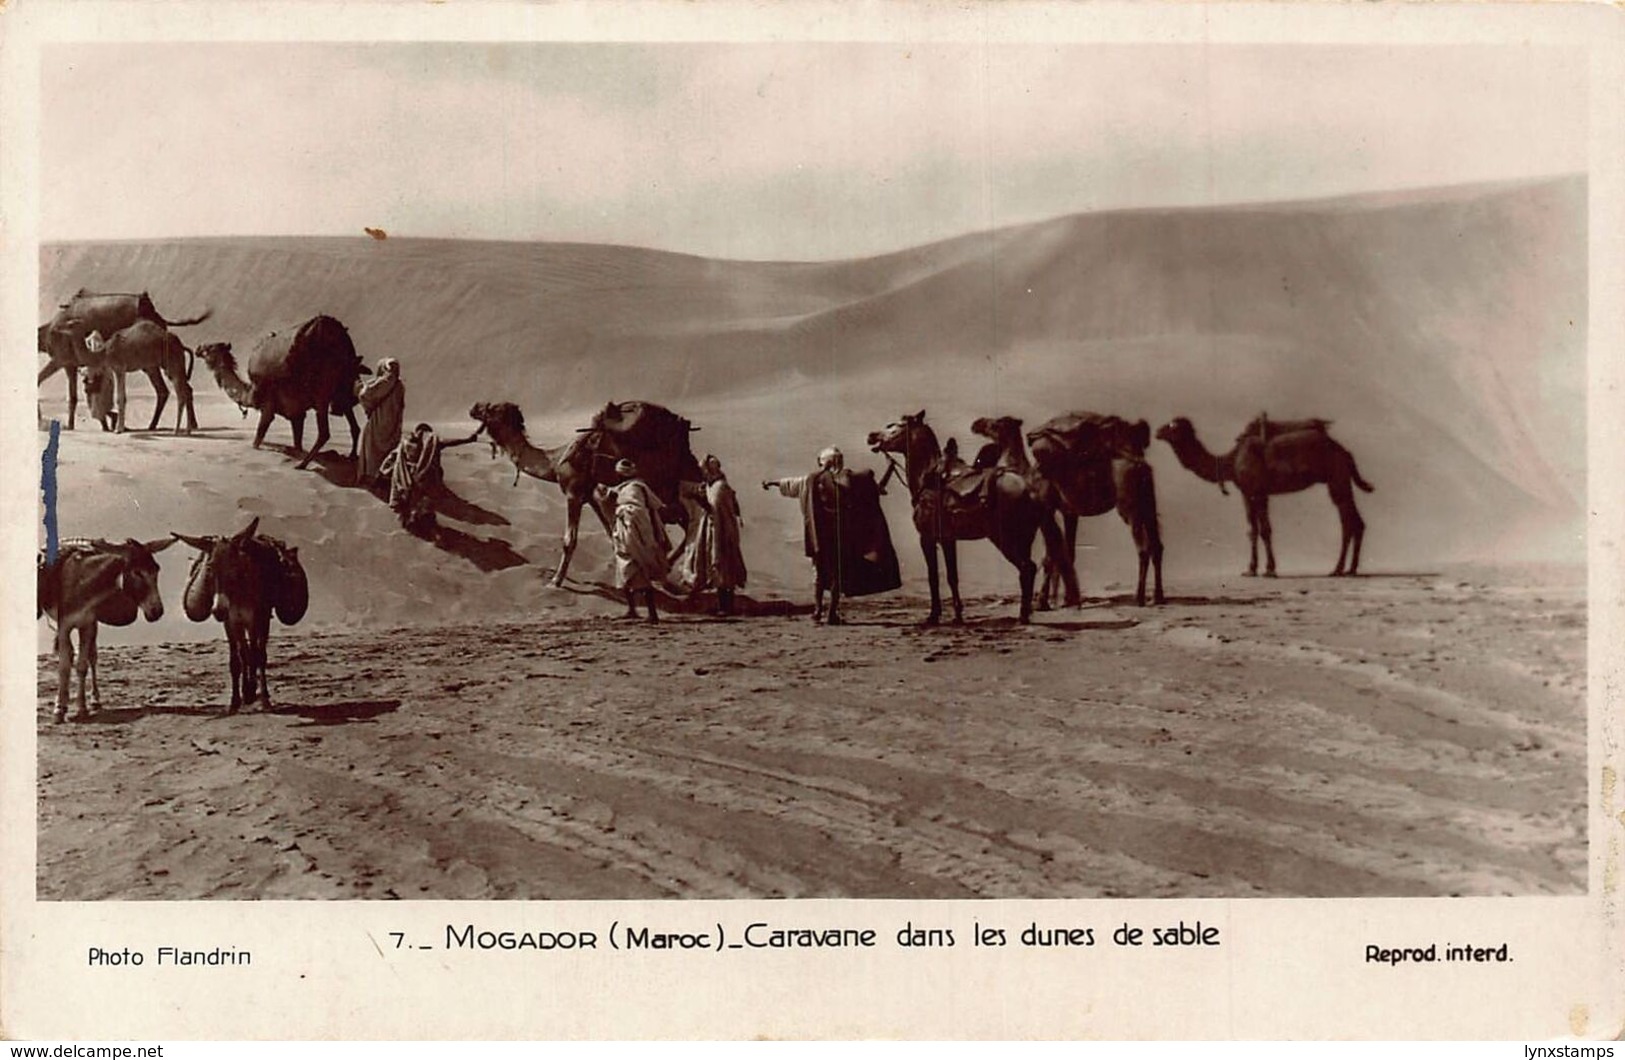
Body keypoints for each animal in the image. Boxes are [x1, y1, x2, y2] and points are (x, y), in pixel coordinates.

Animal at [864, 409, 1079, 624]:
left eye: (895, 426)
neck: (929, 480)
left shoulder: (926, 539)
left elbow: (933, 577)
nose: (871, 436)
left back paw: (1023, 616)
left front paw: (933, 616)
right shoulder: (948, 540)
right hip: (1024, 539)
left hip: (1005, 540)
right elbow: (952, 577)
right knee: (1029, 570)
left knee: (1027, 568)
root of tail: (1031, 490)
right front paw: (958, 615)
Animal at [1157, 416, 1371, 578]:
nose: (1158, 431)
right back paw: (1351, 569)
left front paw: (1269, 570)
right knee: (1357, 522)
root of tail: (1345, 452)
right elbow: (1252, 530)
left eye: (1172, 425)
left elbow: (1265, 530)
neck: (1231, 461)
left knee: (1347, 522)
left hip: (1337, 478)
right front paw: (1251, 569)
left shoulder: (1259, 492)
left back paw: (1338, 569)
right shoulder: (1247, 493)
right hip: (1340, 479)